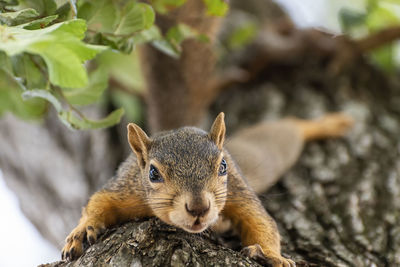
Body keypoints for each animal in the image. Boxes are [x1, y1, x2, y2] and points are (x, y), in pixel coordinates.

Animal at [61, 112, 352, 266]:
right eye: (153, 173)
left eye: (222, 166)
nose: (199, 208)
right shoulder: (126, 188)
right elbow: (98, 202)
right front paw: (80, 232)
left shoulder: (238, 192)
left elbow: (261, 222)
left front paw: (272, 255)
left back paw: (326, 124)